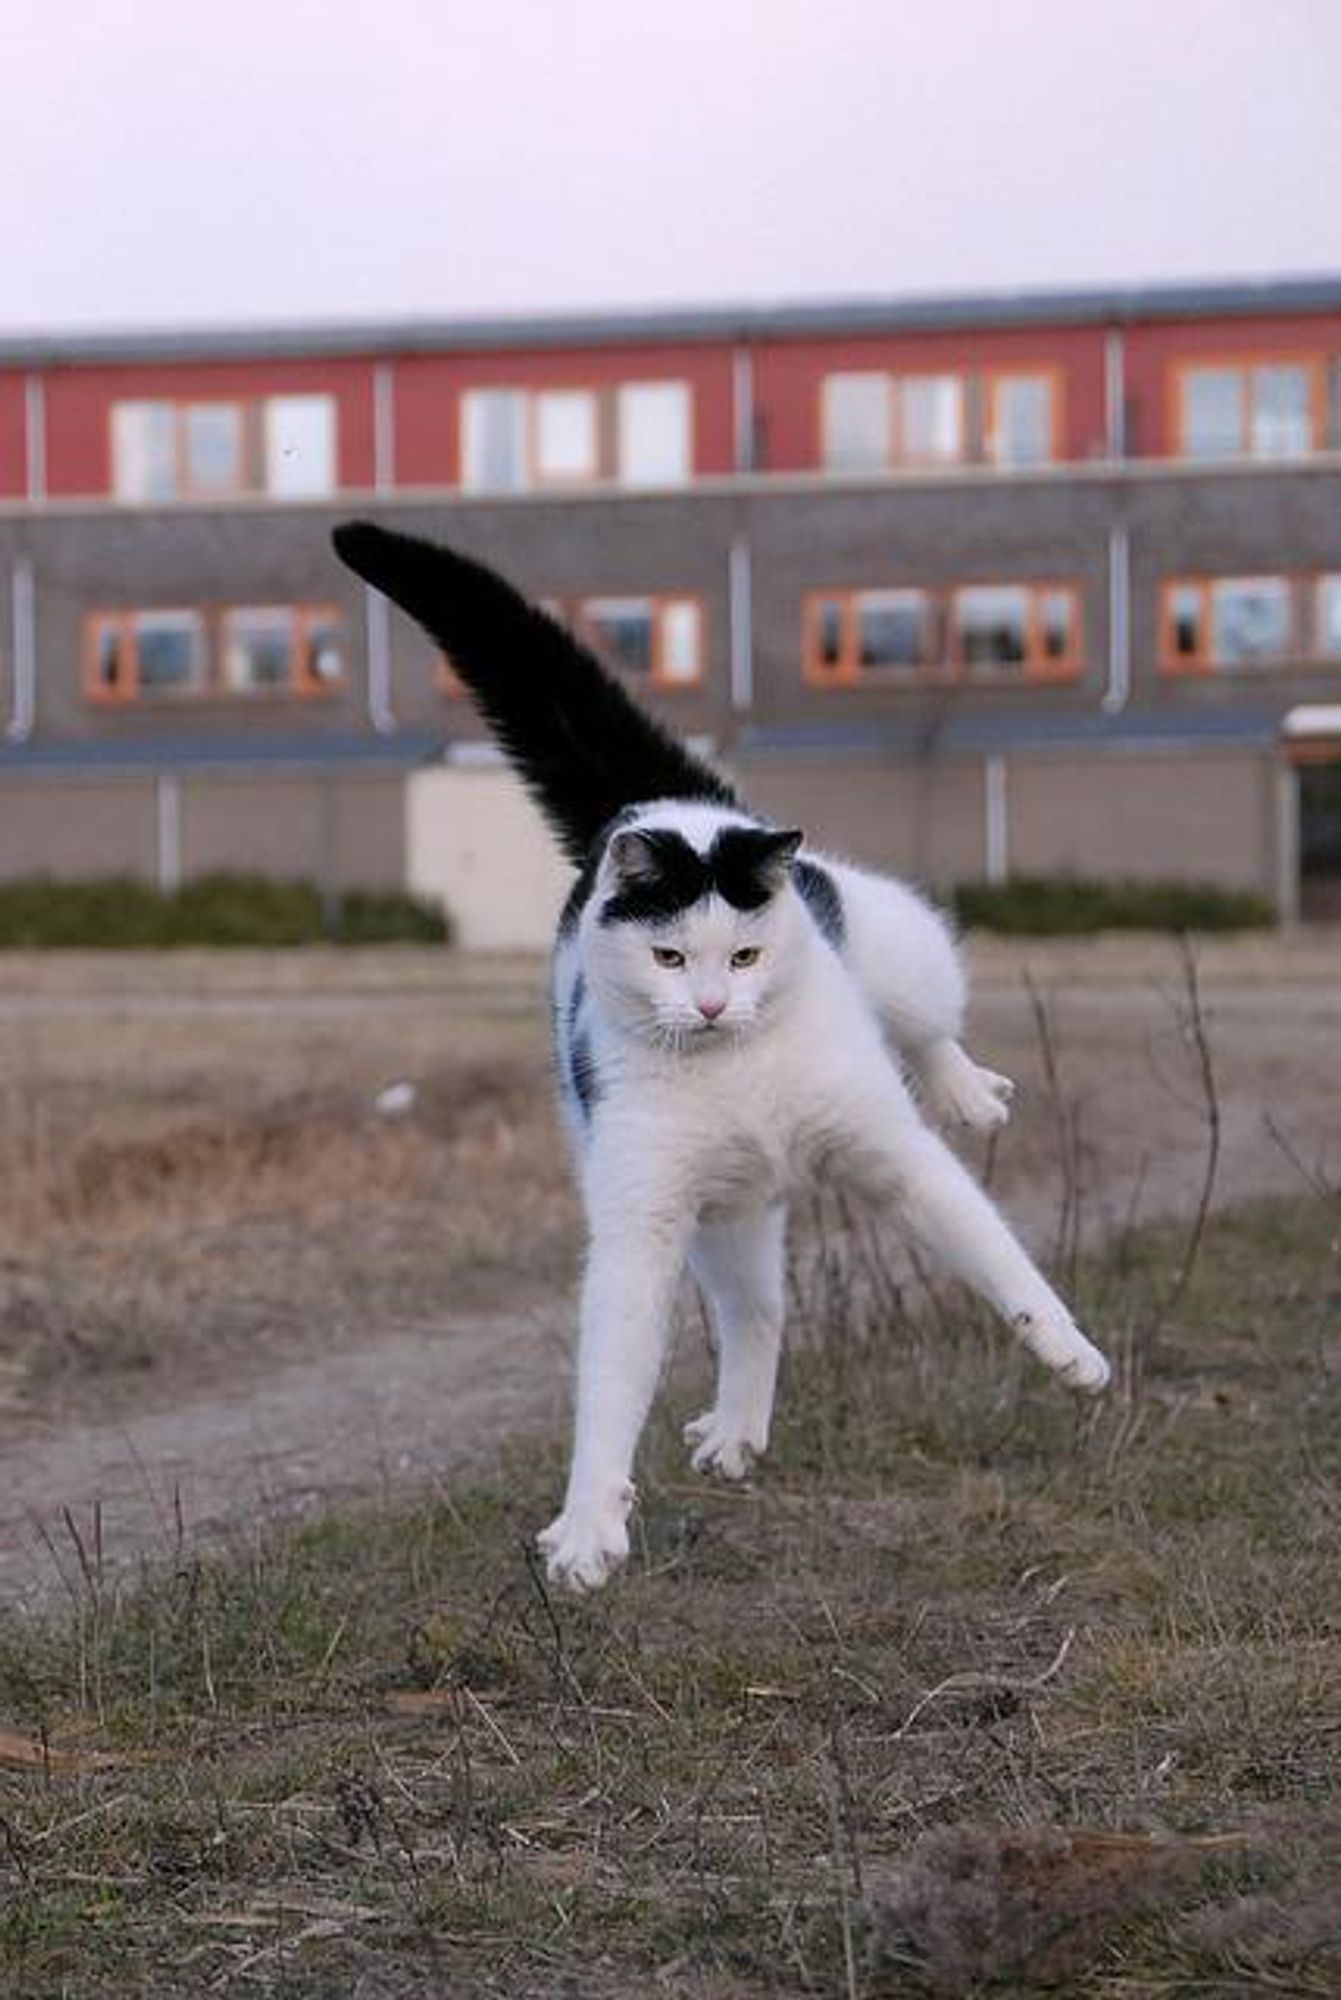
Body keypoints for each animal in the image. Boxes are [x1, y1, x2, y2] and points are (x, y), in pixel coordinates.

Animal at [330, 524, 1104, 1584]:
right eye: (668, 957)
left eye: (742, 956)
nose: (707, 1006)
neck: (739, 1069)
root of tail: (660, 803)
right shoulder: (642, 1223)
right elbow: (611, 1380)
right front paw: (588, 1525)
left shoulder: (896, 1158)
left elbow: (992, 1251)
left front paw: (1070, 1355)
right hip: (722, 1219)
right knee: (756, 1315)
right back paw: (737, 1429)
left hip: (891, 940)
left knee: (927, 1017)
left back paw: (966, 1089)